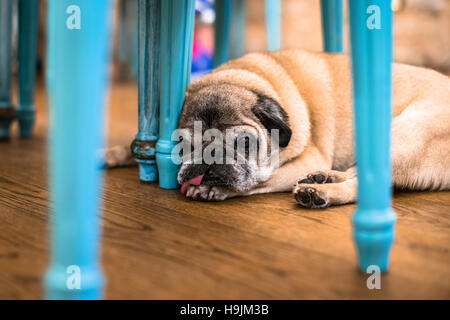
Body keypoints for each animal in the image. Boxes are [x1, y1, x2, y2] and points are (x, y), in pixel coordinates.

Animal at [106, 49, 450, 208]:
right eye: (183, 145)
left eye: (245, 143)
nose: (208, 160)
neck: (242, 78)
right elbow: (135, 146)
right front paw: (106, 154)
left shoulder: (298, 161)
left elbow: (256, 182)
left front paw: (212, 189)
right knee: (357, 174)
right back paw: (323, 178)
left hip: (403, 134)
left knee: (366, 185)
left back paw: (318, 192)